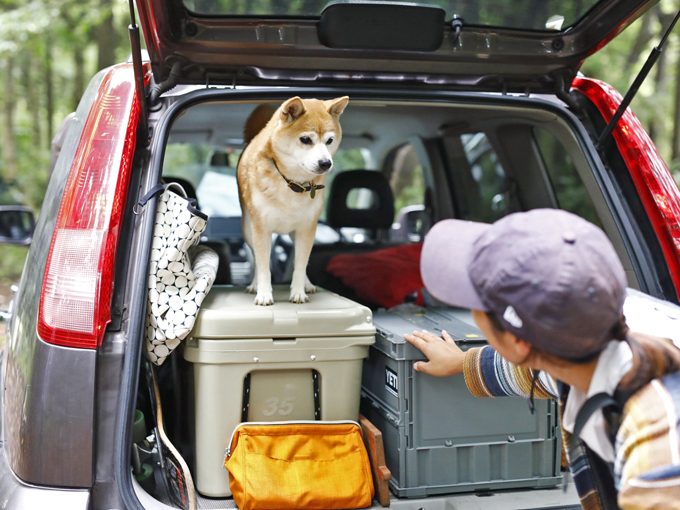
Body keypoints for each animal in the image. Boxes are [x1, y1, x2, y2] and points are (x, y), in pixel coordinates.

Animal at [236, 95, 348, 304]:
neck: (293, 183)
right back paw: (254, 285)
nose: (325, 163)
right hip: (248, 228)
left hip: (296, 233)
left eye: (329, 140)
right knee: (256, 258)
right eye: (305, 139)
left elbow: (301, 265)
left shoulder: (307, 228)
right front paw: (264, 293)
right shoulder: (261, 228)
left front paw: (298, 292)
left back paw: (307, 284)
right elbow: (263, 266)